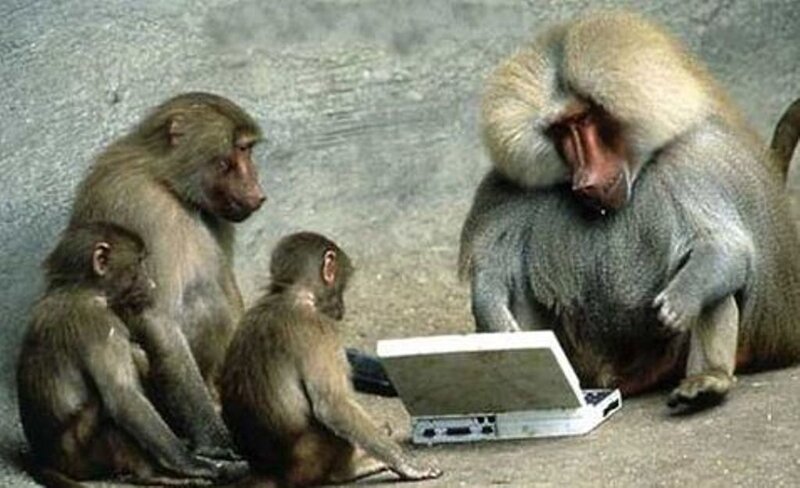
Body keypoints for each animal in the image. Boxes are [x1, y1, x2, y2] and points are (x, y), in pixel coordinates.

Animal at [16, 222, 245, 486]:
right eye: (139, 261)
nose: (152, 284)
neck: (82, 289)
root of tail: (47, 458)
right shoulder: (101, 324)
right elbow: (123, 398)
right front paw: (193, 464)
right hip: (82, 455)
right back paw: (155, 475)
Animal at [66, 92, 265, 457]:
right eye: (240, 150)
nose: (258, 194)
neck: (166, 181)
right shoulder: (145, 210)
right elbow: (157, 318)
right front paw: (217, 442)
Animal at [220, 232, 442, 486]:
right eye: (341, 286)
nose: (342, 307)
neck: (291, 293)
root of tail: (271, 472)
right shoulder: (322, 329)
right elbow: (333, 406)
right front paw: (407, 465)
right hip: (311, 460)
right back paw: (350, 468)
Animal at [458, 11, 800, 409]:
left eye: (585, 119)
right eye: (561, 130)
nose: (585, 181)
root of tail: (622, 379)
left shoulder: (697, 165)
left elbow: (726, 248)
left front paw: (679, 301)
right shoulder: (511, 192)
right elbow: (495, 267)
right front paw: (493, 317)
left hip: (668, 360)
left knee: (718, 282)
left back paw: (706, 381)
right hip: (586, 363)